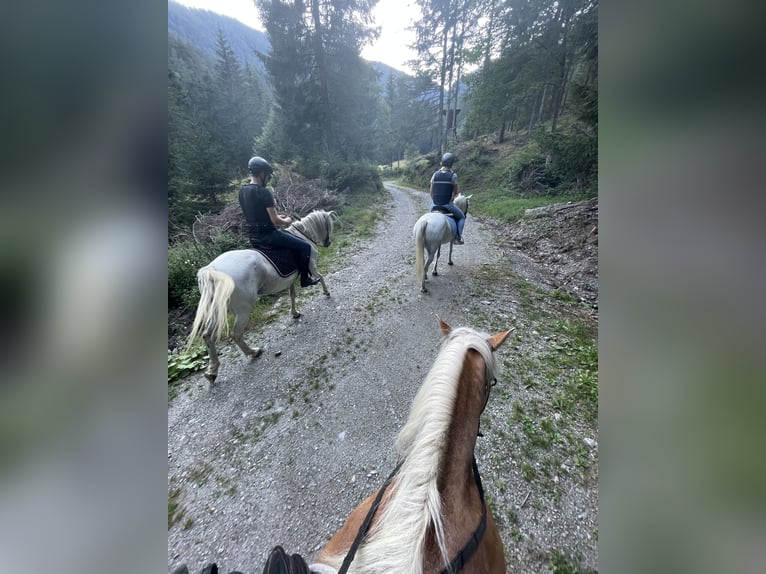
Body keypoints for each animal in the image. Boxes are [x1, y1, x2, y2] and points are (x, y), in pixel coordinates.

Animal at [188, 210, 334, 382]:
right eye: (329, 224)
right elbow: (321, 277)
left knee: (208, 336)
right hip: (243, 309)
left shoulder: (291, 279)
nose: (328, 243)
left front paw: (295, 313)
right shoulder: (311, 266)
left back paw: (212, 371)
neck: (302, 235)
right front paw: (326, 292)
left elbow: (292, 295)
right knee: (236, 334)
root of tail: (212, 270)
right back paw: (254, 352)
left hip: (216, 310)